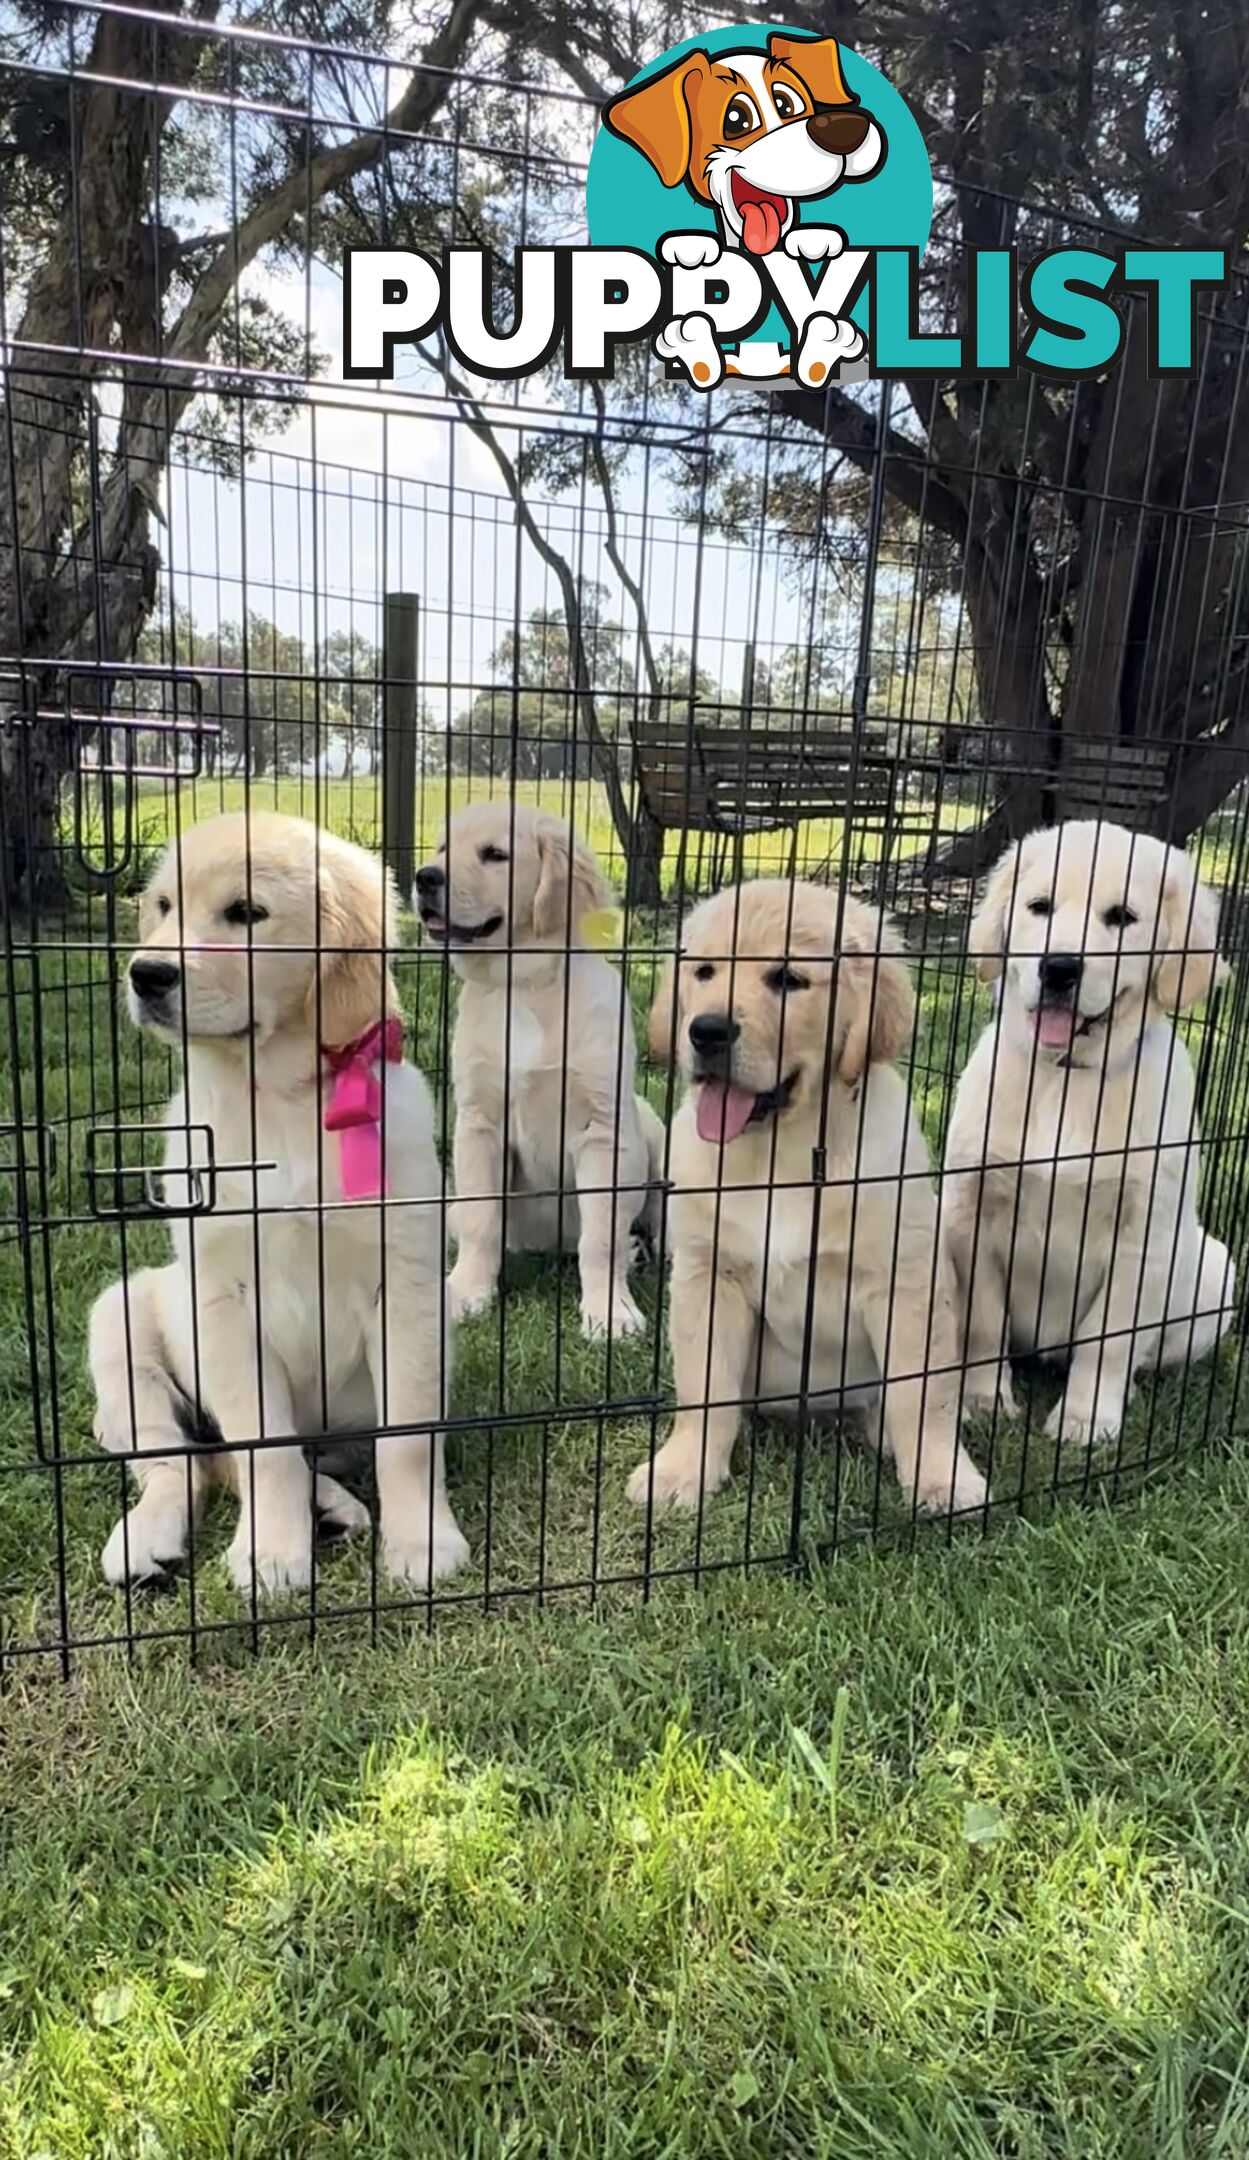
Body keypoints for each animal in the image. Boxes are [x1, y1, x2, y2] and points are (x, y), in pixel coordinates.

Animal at [86, 816, 466, 1598]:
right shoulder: (222, 1300)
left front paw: (423, 1541)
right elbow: (264, 1447)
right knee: (182, 1464)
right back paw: (147, 1542)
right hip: (120, 1320)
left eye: (246, 913)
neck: (283, 1101)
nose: (146, 974)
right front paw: (270, 1551)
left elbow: (408, 1440)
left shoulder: (409, 1289)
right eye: (164, 906)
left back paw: (331, 1506)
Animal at [410, 807, 665, 1330]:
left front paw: (610, 1313)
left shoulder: (603, 1131)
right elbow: (481, 1220)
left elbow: (601, 1237)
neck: (522, 985)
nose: (424, 877)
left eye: (495, 854)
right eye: (442, 848)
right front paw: (467, 1291)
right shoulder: (478, 1124)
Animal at [626, 876, 985, 1520]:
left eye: (789, 980)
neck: (781, 1154)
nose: (706, 1031)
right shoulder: (708, 1273)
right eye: (704, 972)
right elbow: (704, 1386)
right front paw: (683, 1469)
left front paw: (942, 1478)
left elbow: (921, 1394)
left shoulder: (905, 1280)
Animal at [937, 816, 1227, 1442]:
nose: (1060, 967)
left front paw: (1086, 1416)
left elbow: (1109, 1339)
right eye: (1039, 907)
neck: (1066, 1078)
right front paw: (983, 1398)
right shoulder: (971, 1213)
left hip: (1215, 1268)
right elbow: (984, 1321)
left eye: (1122, 917)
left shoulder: (1144, 1232)